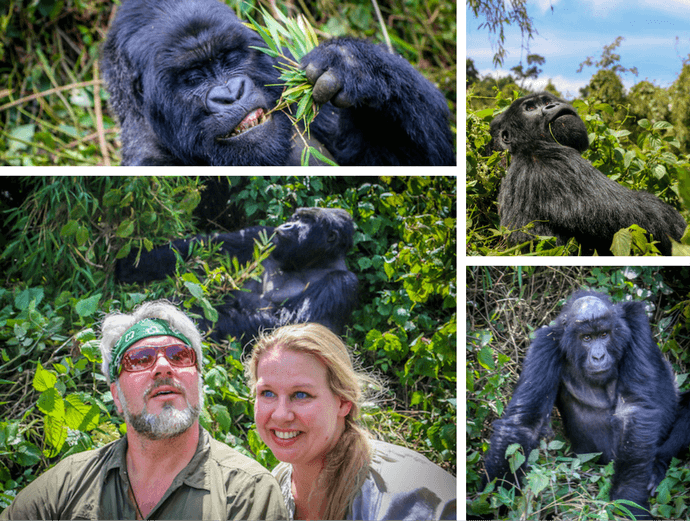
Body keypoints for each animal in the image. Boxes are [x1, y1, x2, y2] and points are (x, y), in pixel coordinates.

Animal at [101, 0, 456, 165]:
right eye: (193, 78)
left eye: (230, 58)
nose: (231, 94)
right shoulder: (148, 157)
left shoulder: (283, 70)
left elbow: (429, 159)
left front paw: (352, 63)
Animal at [114, 207, 354, 346]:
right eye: (296, 217)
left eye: (305, 221)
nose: (287, 225)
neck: (311, 261)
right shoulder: (263, 235)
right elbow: (207, 246)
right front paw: (132, 263)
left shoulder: (343, 283)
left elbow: (299, 327)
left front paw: (189, 316)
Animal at [484, 290, 676, 516]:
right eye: (587, 338)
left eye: (604, 335)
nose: (599, 356)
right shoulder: (544, 345)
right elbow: (524, 422)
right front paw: (494, 498)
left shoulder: (636, 321)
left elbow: (633, 408)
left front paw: (628, 499)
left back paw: (657, 469)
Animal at [490, 93, 684, 256]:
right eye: (529, 108)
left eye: (546, 101)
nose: (552, 105)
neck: (522, 146)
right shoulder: (556, 162)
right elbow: (644, 218)